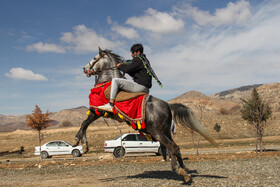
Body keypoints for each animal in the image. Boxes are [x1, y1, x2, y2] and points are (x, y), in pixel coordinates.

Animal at [73, 47, 218, 183]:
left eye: (94, 57)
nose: (85, 69)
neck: (106, 82)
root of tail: (167, 105)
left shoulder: (97, 111)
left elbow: (84, 124)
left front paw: (79, 144)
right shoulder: (96, 112)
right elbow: (85, 124)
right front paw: (83, 145)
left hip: (157, 132)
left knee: (173, 147)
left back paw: (180, 172)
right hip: (165, 132)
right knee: (175, 148)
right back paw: (185, 171)